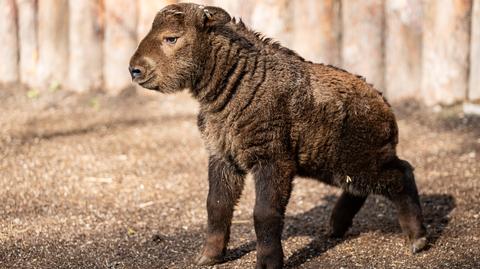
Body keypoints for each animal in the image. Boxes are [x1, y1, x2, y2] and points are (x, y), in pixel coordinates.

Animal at [128, 2, 428, 268]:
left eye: (171, 38)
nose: (134, 69)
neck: (238, 83)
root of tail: (385, 106)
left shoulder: (272, 160)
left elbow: (264, 214)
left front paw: (268, 263)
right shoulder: (223, 156)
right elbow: (216, 206)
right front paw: (208, 257)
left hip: (360, 161)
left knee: (401, 174)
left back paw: (417, 239)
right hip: (335, 165)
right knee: (359, 188)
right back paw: (334, 228)